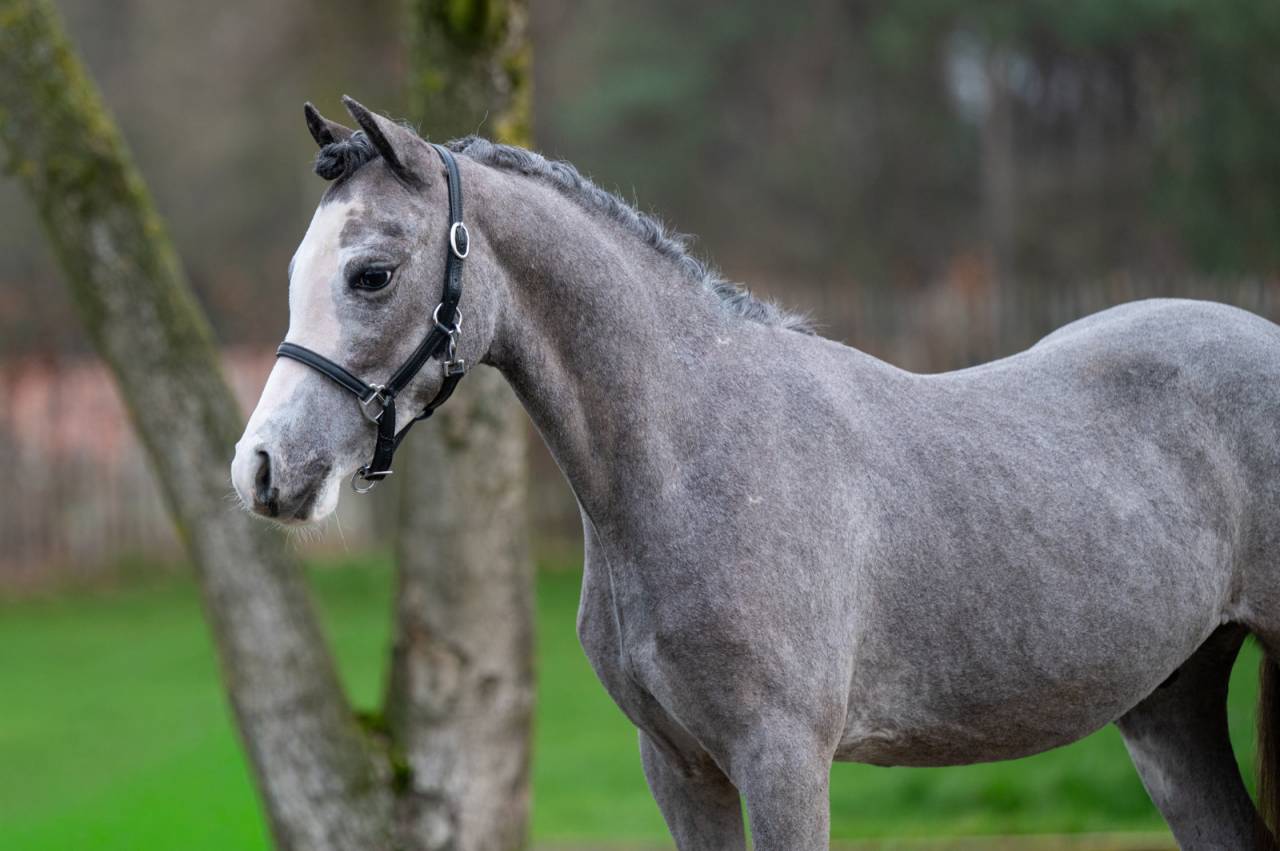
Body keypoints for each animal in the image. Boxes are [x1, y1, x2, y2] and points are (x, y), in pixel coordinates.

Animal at [232, 96, 1280, 850]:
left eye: (370, 273)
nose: (263, 469)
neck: (689, 457)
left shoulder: (784, 761)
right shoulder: (679, 765)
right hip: (1167, 709)